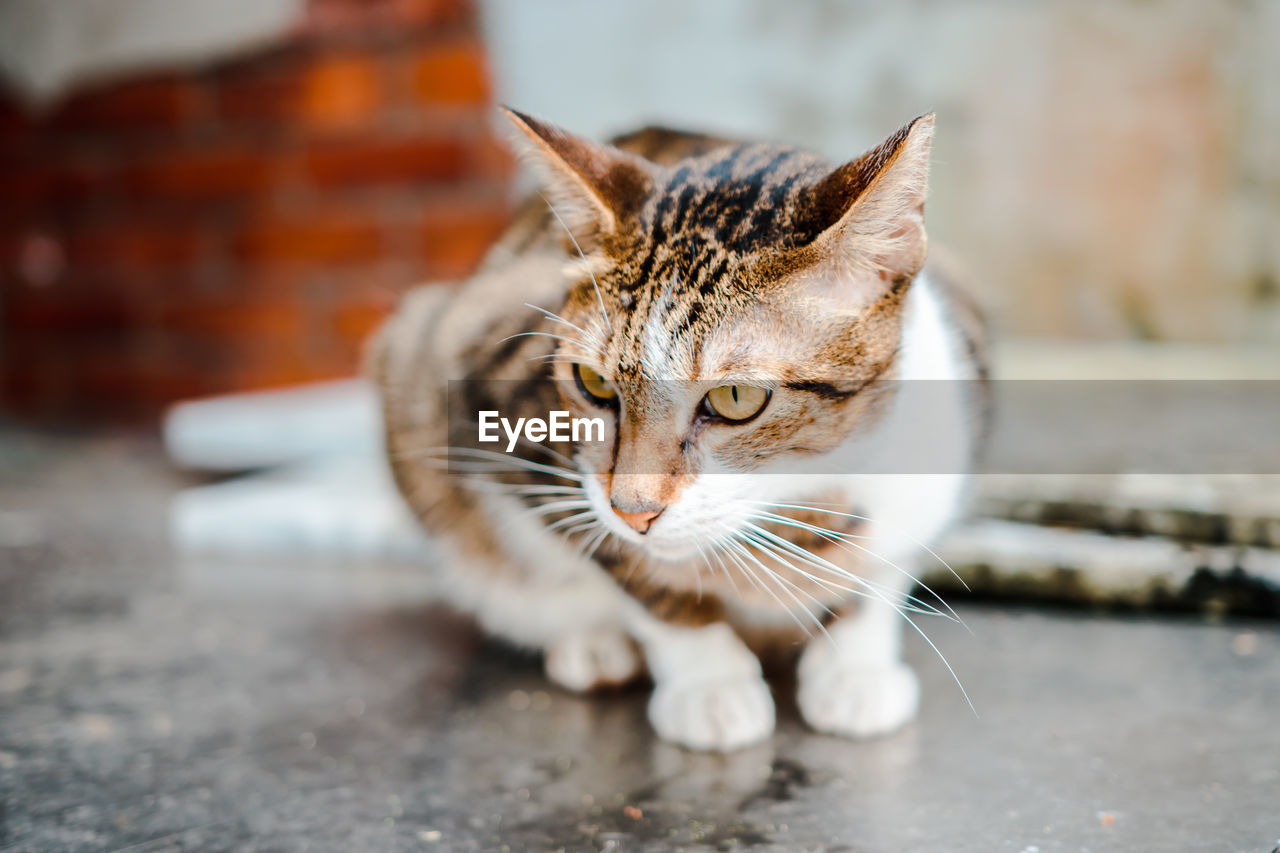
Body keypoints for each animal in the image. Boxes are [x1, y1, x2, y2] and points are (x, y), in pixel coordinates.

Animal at [371, 108, 988, 753]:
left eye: (736, 398)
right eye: (592, 383)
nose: (633, 510)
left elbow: (882, 571)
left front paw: (856, 667)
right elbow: (641, 578)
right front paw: (710, 685)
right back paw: (593, 645)